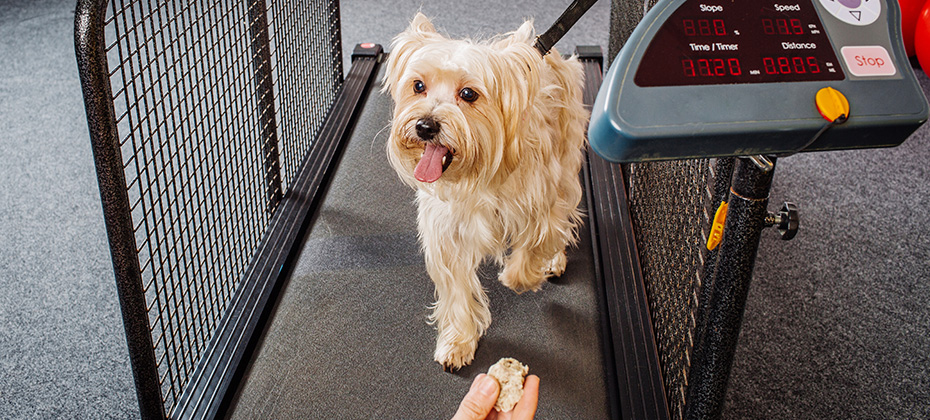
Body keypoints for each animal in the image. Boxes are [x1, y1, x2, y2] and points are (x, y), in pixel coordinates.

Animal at [378, 12, 584, 368]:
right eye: (418, 86)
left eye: (469, 94)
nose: (425, 126)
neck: (477, 174)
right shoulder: (446, 231)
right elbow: (457, 289)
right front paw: (457, 341)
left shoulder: (543, 197)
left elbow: (540, 238)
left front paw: (520, 276)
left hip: (567, 153)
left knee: (565, 213)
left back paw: (553, 260)